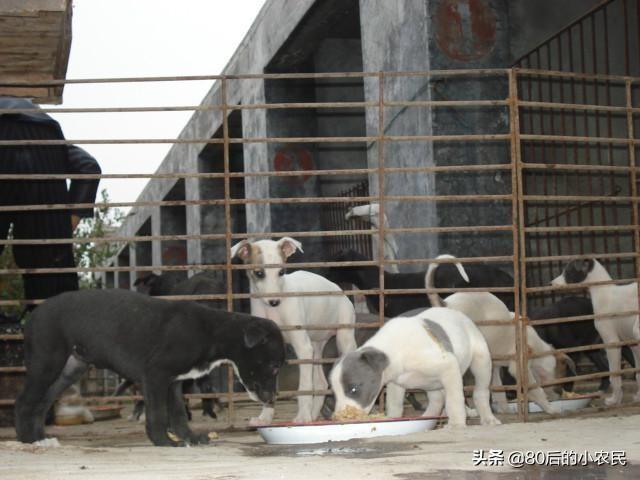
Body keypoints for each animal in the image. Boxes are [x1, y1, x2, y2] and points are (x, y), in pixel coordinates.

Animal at [14, 286, 284, 448]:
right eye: (272, 366)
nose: (272, 399)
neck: (211, 332)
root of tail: (33, 315)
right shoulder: (156, 375)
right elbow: (158, 413)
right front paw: (163, 441)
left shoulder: (174, 382)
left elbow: (178, 414)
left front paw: (190, 438)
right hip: (47, 362)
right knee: (24, 402)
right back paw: (25, 438)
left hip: (68, 369)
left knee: (42, 403)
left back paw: (40, 438)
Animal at [231, 236, 360, 424]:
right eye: (259, 273)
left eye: (282, 272)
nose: (274, 302)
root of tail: (340, 291)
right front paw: (265, 417)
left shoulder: (302, 346)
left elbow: (304, 386)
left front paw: (302, 416)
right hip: (316, 346)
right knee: (320, 382)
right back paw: (313, 416)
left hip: (344, 338)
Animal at [330, 306, 500, 426]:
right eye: (334, 393)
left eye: (354, 389)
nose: (339, 418)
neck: (394, 349)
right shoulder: (396, 383)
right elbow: (395, 405)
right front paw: (392, 419)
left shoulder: (449, 366)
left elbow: (454, 400)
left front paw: (456, 424)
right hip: (431, 383)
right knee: (437, 399)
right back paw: (427, 418)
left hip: (481, 361)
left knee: (480, 392)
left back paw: (488, 419)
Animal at [424, 253, 568, 414]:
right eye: (563, 371)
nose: (561, 394)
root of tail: (446, 305)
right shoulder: (519, 367)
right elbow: (535, 390)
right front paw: (551, 409)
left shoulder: (494, 367)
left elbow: (499, 391)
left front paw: (506, 410)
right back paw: (467, 411)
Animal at [552, 258, 636, 404]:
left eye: (567, 271)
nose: (551, 283)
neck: (604, 292)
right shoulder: (630, 342)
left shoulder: (611, 341)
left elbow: (614, 374)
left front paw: (614, 400)